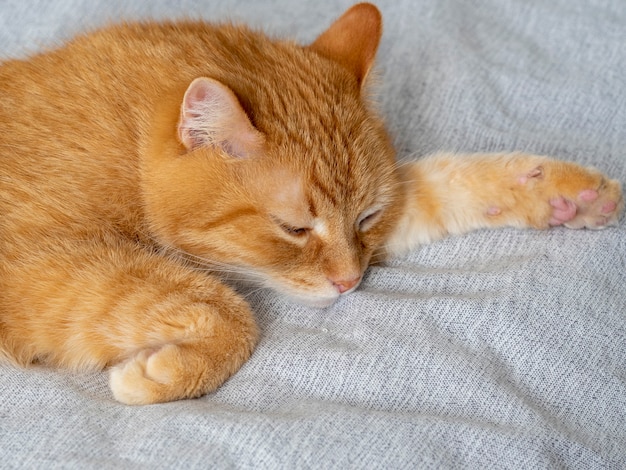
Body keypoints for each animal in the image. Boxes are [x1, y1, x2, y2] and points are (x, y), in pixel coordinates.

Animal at [0, 2, 616, 404]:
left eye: (367, 218)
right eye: (295, 229)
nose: (350, 283)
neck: (125, 141)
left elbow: (444, 183)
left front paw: (565, 194)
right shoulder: (35, 263)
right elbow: (229, 311)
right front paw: (172, 372)